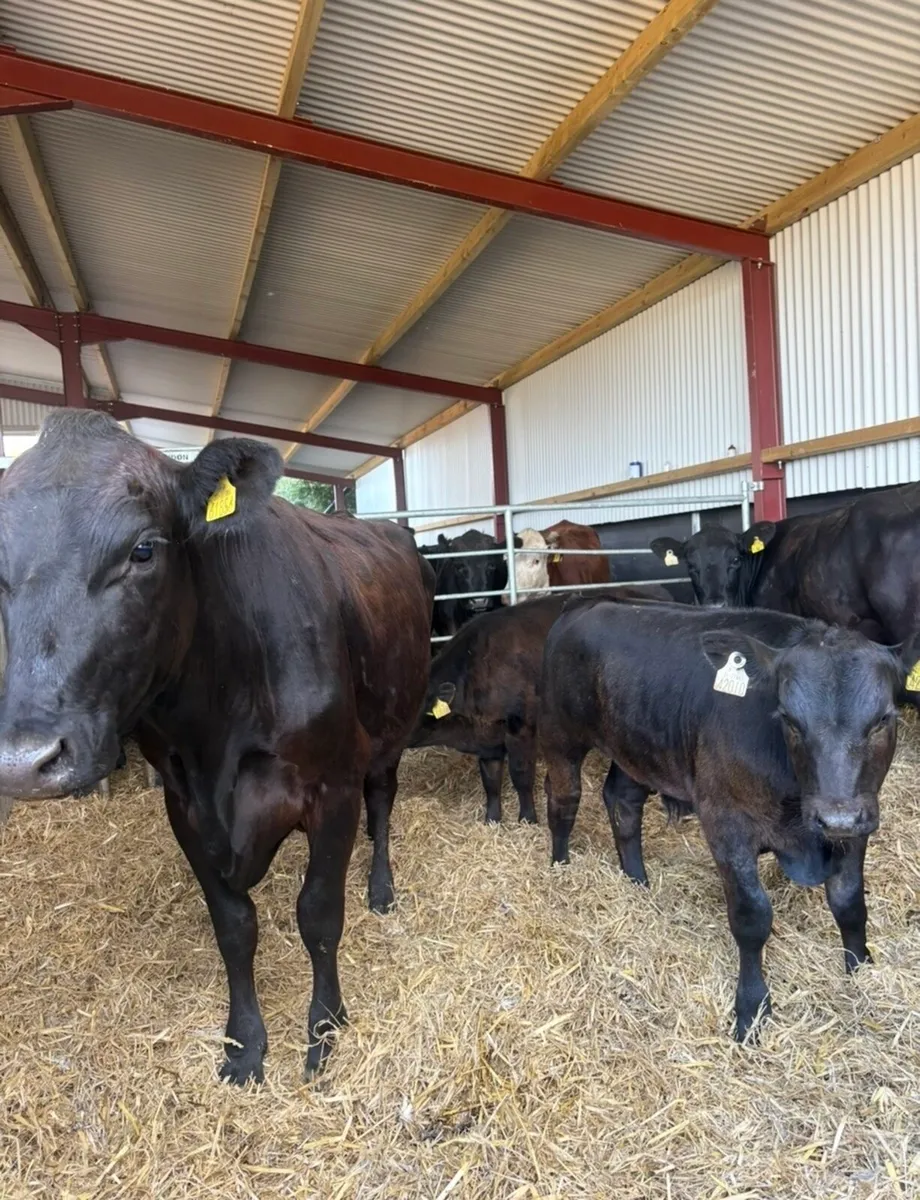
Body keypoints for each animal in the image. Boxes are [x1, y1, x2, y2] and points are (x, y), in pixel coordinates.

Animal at [0, 410, 434, 1085]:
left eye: (143, 549)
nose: (27, 761)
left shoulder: (333, 786)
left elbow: (319, 914)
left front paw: (324, 1028)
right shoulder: (184, 804)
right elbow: (234, 927)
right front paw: (245, 1045)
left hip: (395, 723)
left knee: (383, 802)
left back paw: (381, 888)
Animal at [411, 585, 678, 824]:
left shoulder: (521, 726)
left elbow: (521, 774)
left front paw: (527, 818)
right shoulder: (487, 737)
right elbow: (491, 780)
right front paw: (492, 820)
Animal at [540, 598, 901, 1041]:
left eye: (883, 718)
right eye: (789, 719)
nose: (836, 816)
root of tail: (583, 604)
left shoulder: (859, 822)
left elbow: (849, 902)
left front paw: (860, 970)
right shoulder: (726, 825)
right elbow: (752, 917)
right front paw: (751, 1009)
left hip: (637, 747)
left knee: (622, 802)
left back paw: (637, 880)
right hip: (560, 736)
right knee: (564, 799)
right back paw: (560, 865)